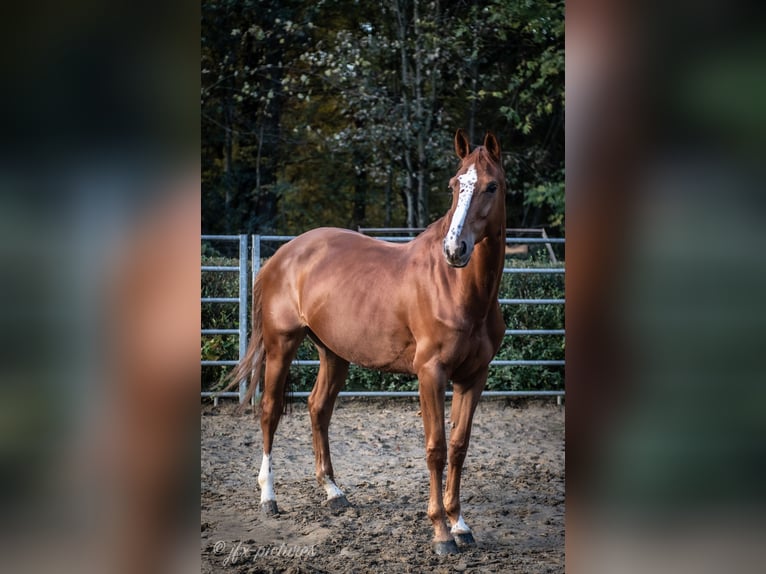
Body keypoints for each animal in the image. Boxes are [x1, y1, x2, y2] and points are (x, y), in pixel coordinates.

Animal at [225, 132, 508, 560]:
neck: (457, 289)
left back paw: (333, 492)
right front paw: (441, 532)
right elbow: (437, 449)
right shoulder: (431, 375)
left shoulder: (473, 377)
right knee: (270, 411)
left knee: (318, 408)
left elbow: (459, 447)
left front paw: (461, 525)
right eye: (454, 185)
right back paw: (268, 498)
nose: (455, 249)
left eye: (491, 186)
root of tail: (284, 254)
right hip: (280, 345)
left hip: (334, 353)